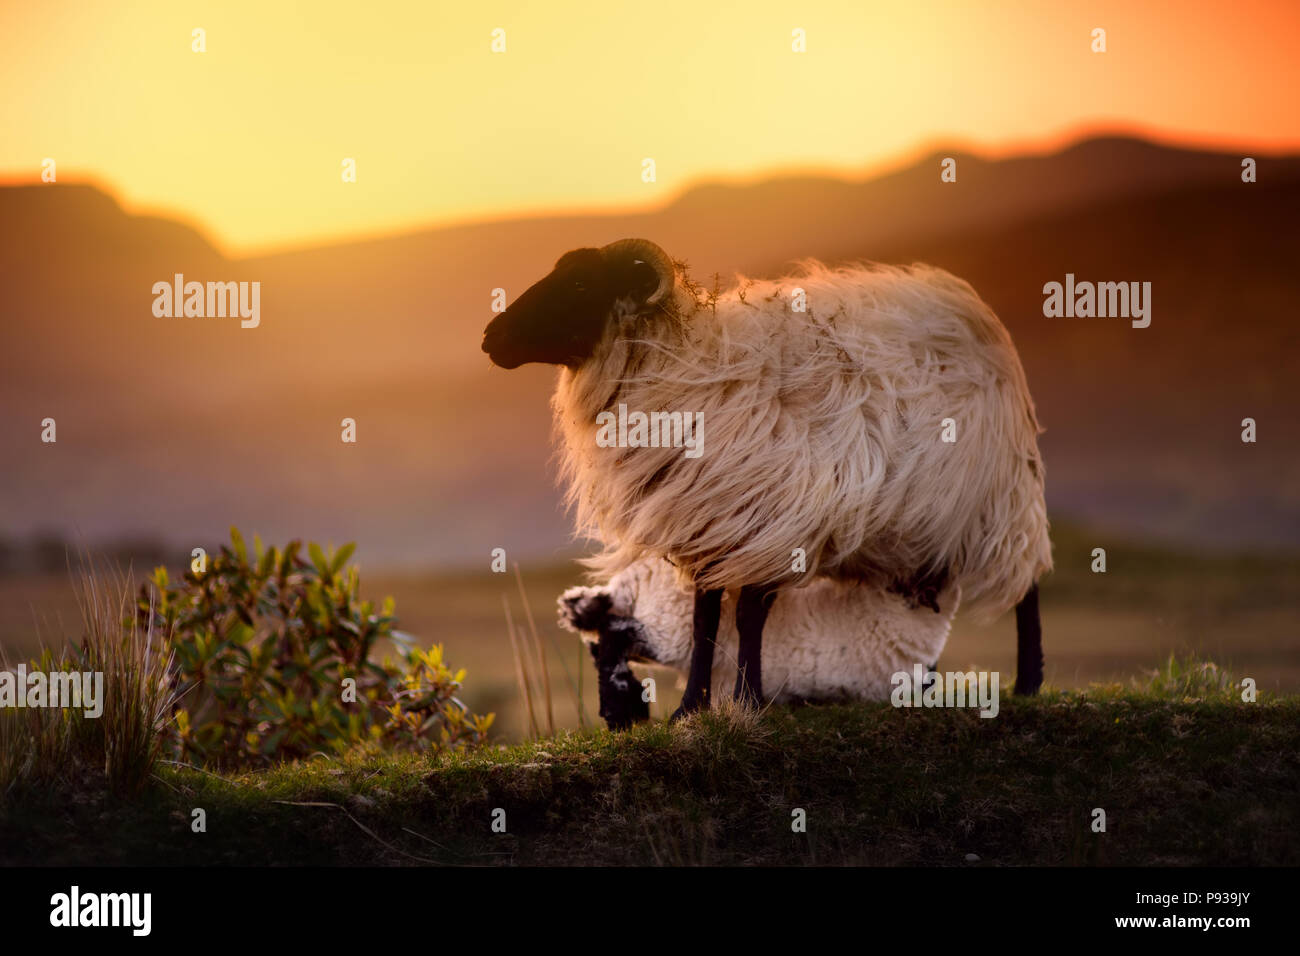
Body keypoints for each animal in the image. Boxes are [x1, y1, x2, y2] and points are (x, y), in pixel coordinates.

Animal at [553, 556, 961, 728]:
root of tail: (636, 578)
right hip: (667, 627)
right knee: (614, 633)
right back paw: (621, 708)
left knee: (600, 632)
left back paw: (622, 706)